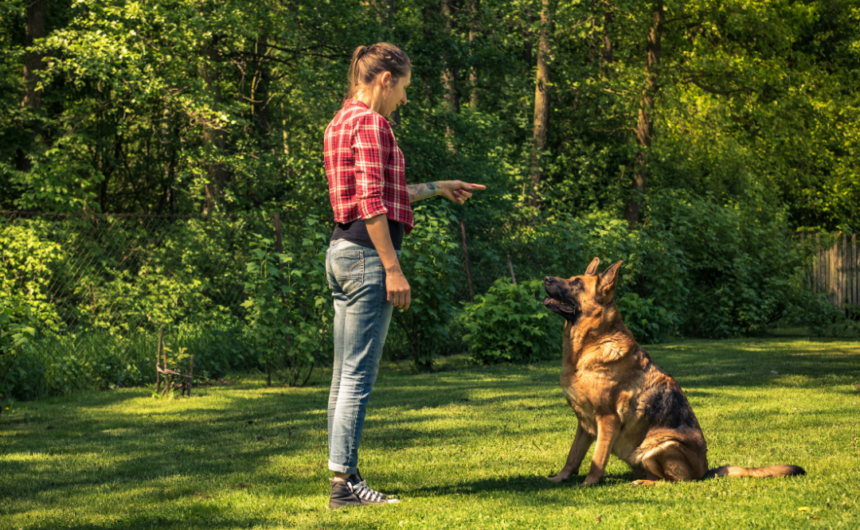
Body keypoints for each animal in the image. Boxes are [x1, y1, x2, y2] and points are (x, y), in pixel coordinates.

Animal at [540, 258, 804, 484]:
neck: (588, 346)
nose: (545, 278)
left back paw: (643, 482)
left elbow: (597, 458)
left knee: (673, 481)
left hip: (659, 446)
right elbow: (573, 456)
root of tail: (704, 472)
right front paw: (558, 479)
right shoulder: (584, 424)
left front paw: (588, 484)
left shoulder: (607, 419)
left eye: (576, 283)